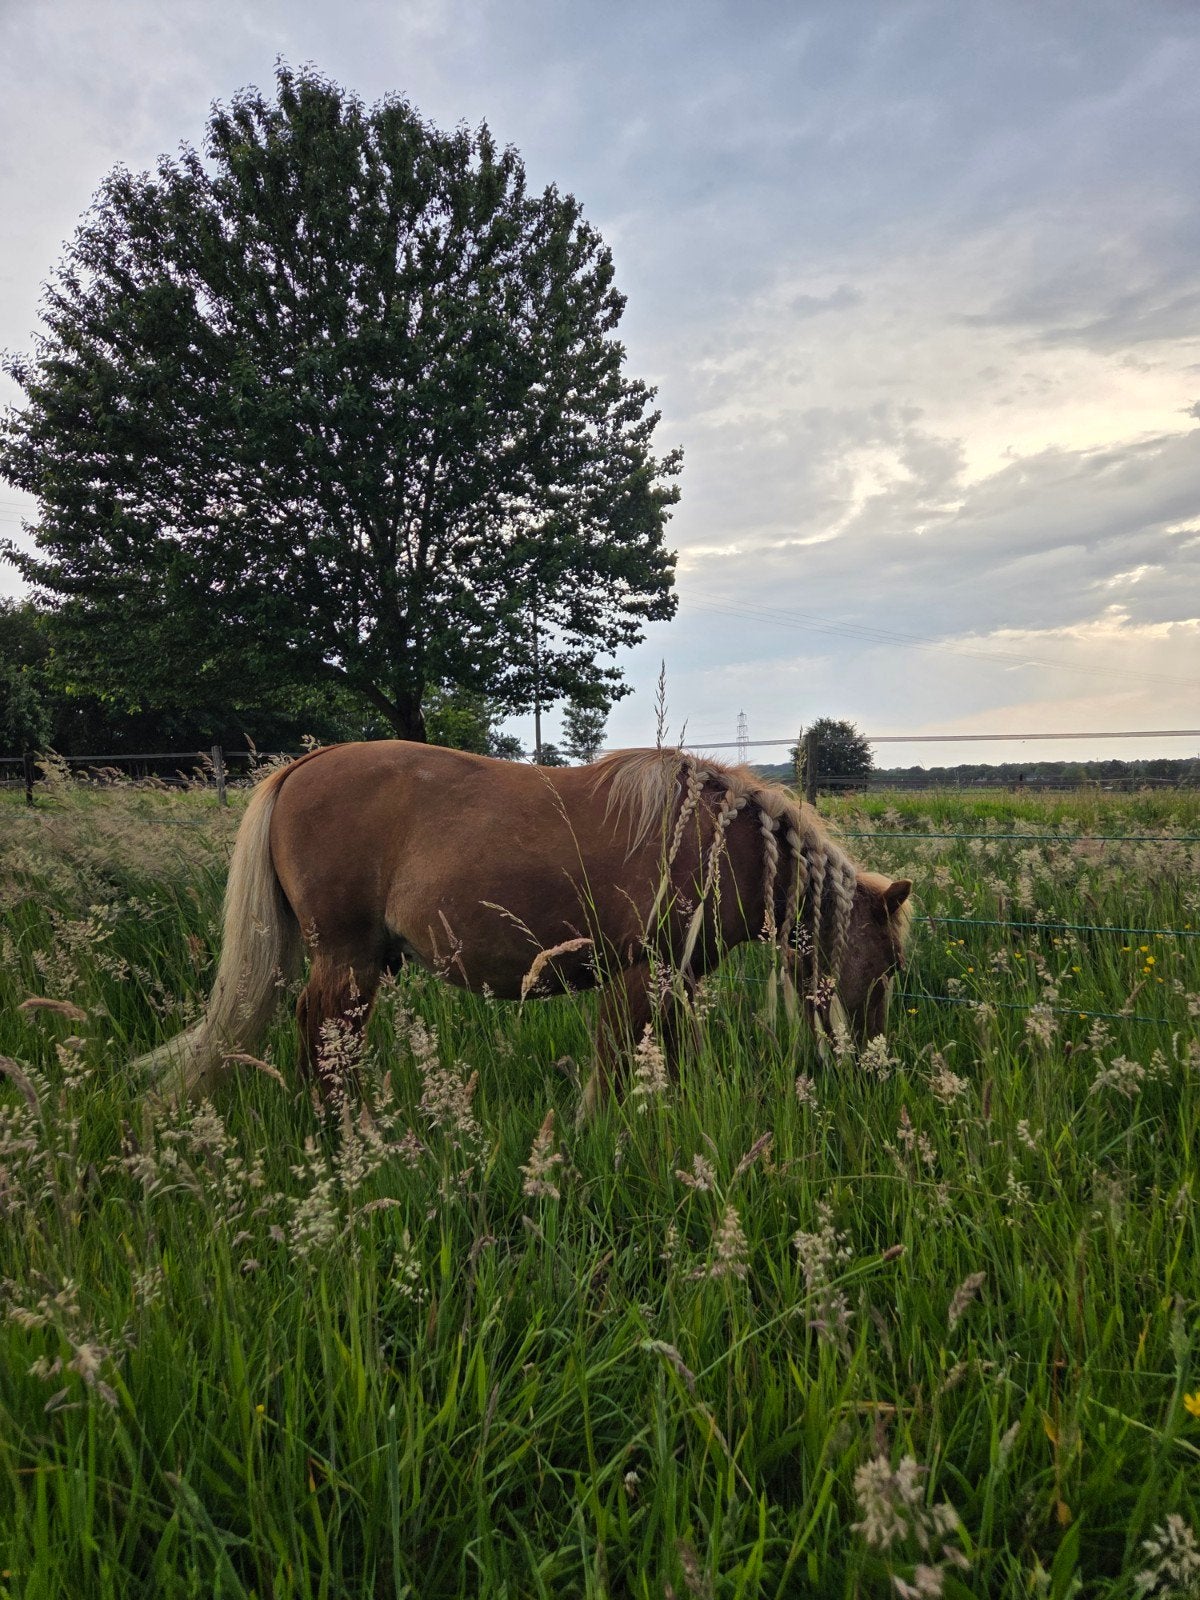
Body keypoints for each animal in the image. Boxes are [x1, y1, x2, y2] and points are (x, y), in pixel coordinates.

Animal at [132, 741, 913, 1106]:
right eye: (889, 967)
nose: (875, 1069)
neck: (711, 836)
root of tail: (301, 766)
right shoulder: (641, 973)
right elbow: (618, 1062)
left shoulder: (672, 979)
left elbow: (664, 1056)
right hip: (347, 961)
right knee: (325, 1033)